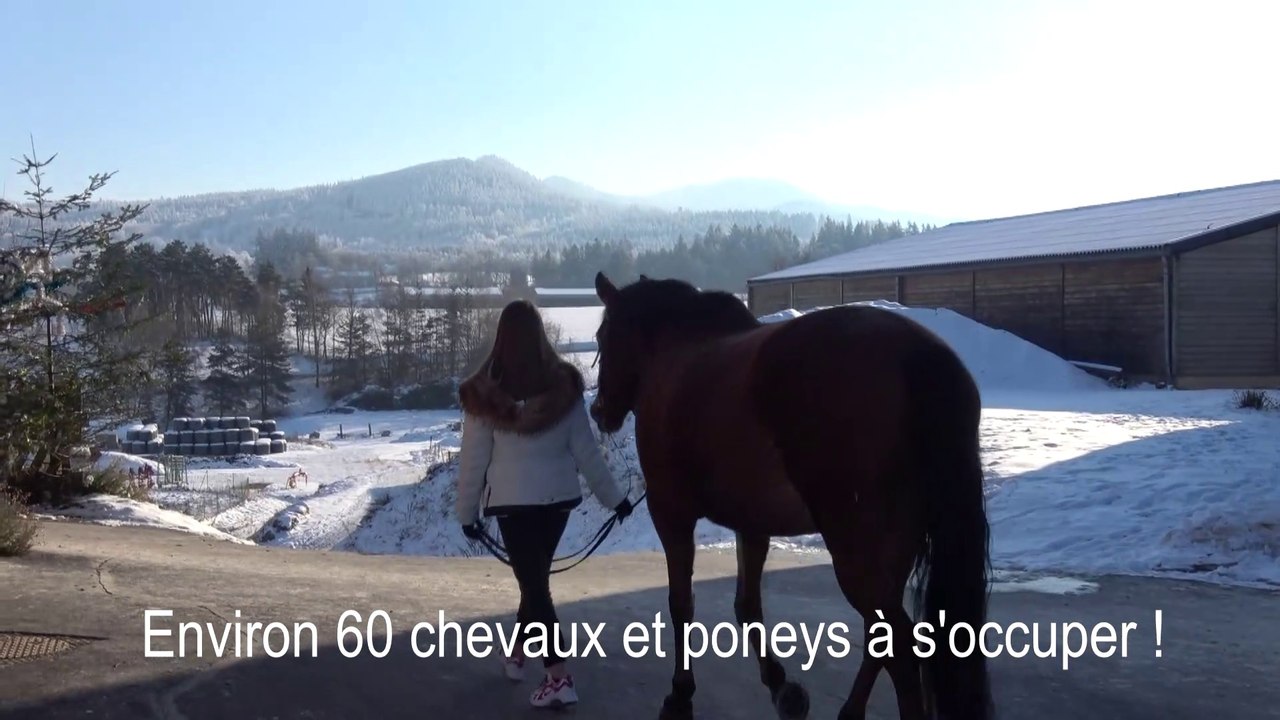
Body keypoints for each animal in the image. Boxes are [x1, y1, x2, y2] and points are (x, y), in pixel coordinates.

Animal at [588, 272, 993, 720]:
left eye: (602, 336)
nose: (598, 411)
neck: (675, 352)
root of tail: (919, 357)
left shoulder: (671, 514)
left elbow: (681, 603)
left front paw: (680, 693)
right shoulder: (752, 523)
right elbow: (746, 605)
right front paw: (782, 687)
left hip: (855, 551)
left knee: (899, 646)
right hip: (895, 549)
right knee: (881, 634)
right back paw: (849, 711)